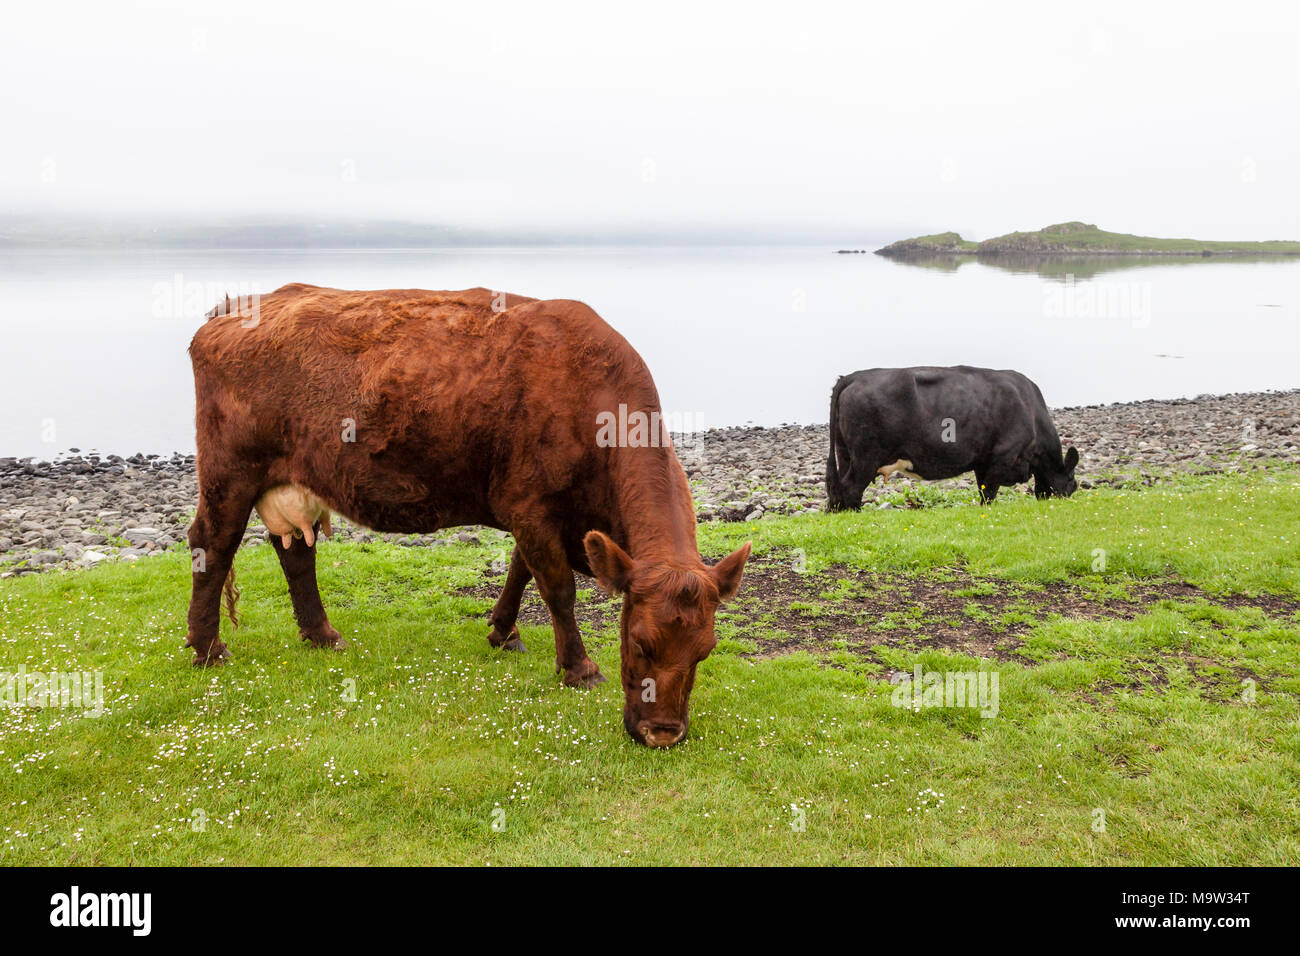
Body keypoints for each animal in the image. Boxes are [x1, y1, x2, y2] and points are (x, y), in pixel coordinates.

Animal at [187, 283, 748, 749]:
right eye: (638, 641)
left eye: (705, 650)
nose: (663, 734)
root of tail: (232, 308)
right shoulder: (530, 503)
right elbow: (558, 589)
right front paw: (580, 668)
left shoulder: (541, 514)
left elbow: (521, 570)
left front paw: (503, 632)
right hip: (229, 473)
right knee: (211, 544)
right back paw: (208, 647)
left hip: (291, 482)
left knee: (296, 553)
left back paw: (323, 636)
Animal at [826, 364, 1081, 512]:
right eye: (1073, 484)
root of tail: (853, 377)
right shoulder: (1003, 456)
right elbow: (989, 492)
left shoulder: (983, 461)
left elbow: (983, 487)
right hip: (866, 457)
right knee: (850, 488)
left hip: (845, 453)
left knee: (839, 490)